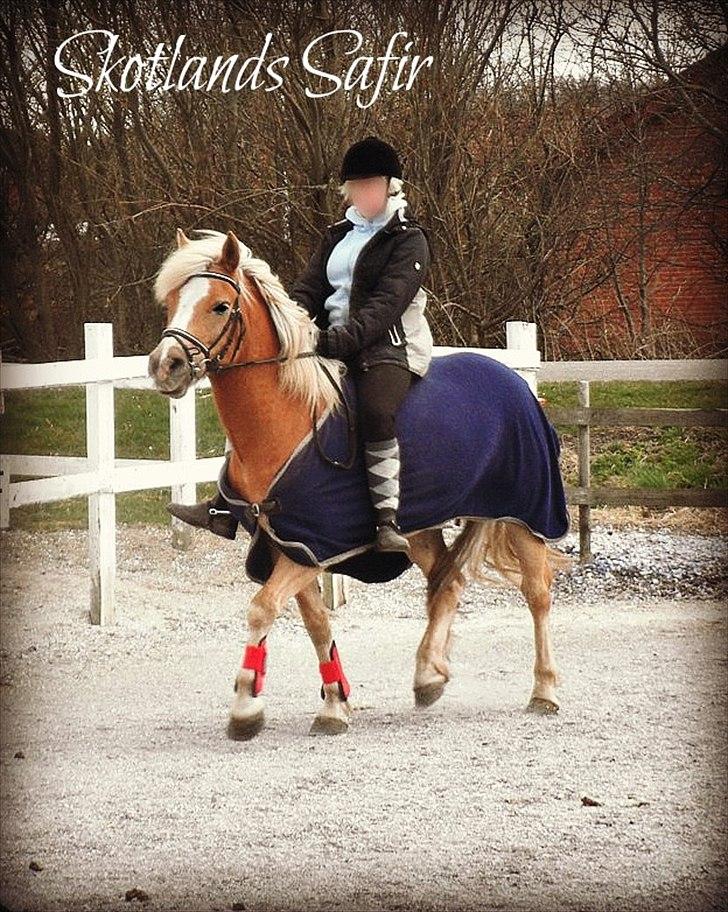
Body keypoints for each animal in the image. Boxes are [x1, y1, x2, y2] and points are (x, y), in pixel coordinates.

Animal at [147, 227, 574, 740]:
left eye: (219, 306)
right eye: (172, 301)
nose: (165, 365)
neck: (286, 420)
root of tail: (517, 383)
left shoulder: (314, 544)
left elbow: (261, 608)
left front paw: (247, 707)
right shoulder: (286, 542)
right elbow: (315, 623)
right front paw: (334, 703)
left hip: (525, 512)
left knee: (538, 593)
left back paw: (545, 690)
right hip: (419, 528)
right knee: (447, 583)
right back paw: (429, 674)